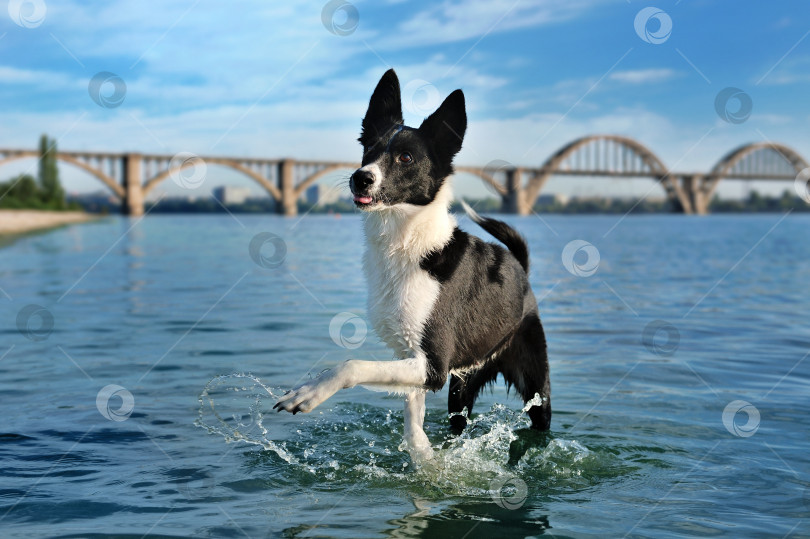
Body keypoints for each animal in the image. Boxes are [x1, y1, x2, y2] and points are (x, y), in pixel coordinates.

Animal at [274, 69, 552, 460]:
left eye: (405, 158)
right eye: (368, 148)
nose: (360, 177)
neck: (406, 243)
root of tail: (521, 268)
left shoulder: (432, 367)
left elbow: (352, 364)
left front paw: (308, 392)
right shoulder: (414, 360)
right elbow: (411, 412)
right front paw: (422, 454)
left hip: (535, 386)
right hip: (460, 389)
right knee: (457, 421)